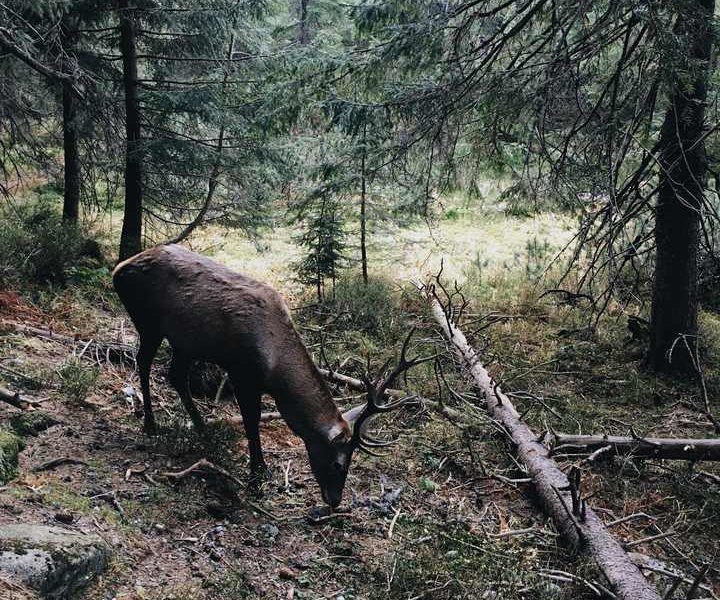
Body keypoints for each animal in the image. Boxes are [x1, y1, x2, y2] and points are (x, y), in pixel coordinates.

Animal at [114, 246, 428, 508]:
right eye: (339, 463)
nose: (335, 500)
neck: (275, 368)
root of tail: (119, 269)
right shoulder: (241, 372)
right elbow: (252, 421)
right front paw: (258, 476)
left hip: (185, 342)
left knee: (176, 376)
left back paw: (203, 429)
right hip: (149, 322)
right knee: (143, 362)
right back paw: (150, 424)